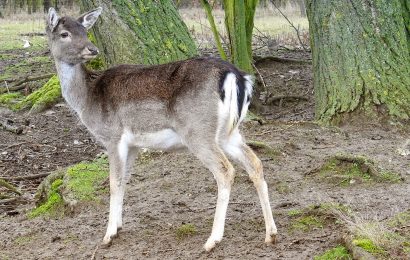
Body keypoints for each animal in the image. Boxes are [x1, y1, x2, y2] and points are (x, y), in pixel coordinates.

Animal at [45, 6, 278, 250]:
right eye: (65, 33)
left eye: (84, 30)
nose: (92, 49)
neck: (88, 99)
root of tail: (238, 77)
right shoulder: (134, 145)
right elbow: (125, 180)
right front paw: (118, 227)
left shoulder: (113, 137)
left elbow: (114, 182)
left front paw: (108, 235)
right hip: (228, 132)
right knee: (255, 163)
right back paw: (270, 233)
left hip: (198, 131)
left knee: (225, 170)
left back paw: (212, 240)